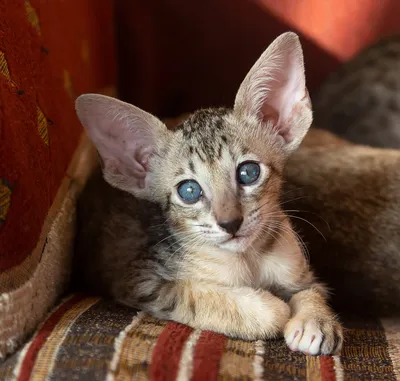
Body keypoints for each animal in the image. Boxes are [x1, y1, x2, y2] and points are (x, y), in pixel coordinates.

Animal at [74, 33, 340, 356]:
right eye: (189, 191)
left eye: (248, 172)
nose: (230, 223)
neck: (247, 259)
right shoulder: (142, 280)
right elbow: (200, 297)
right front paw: (271, 309)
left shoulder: (297, 267)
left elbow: (310, 288)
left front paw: (317, 320)